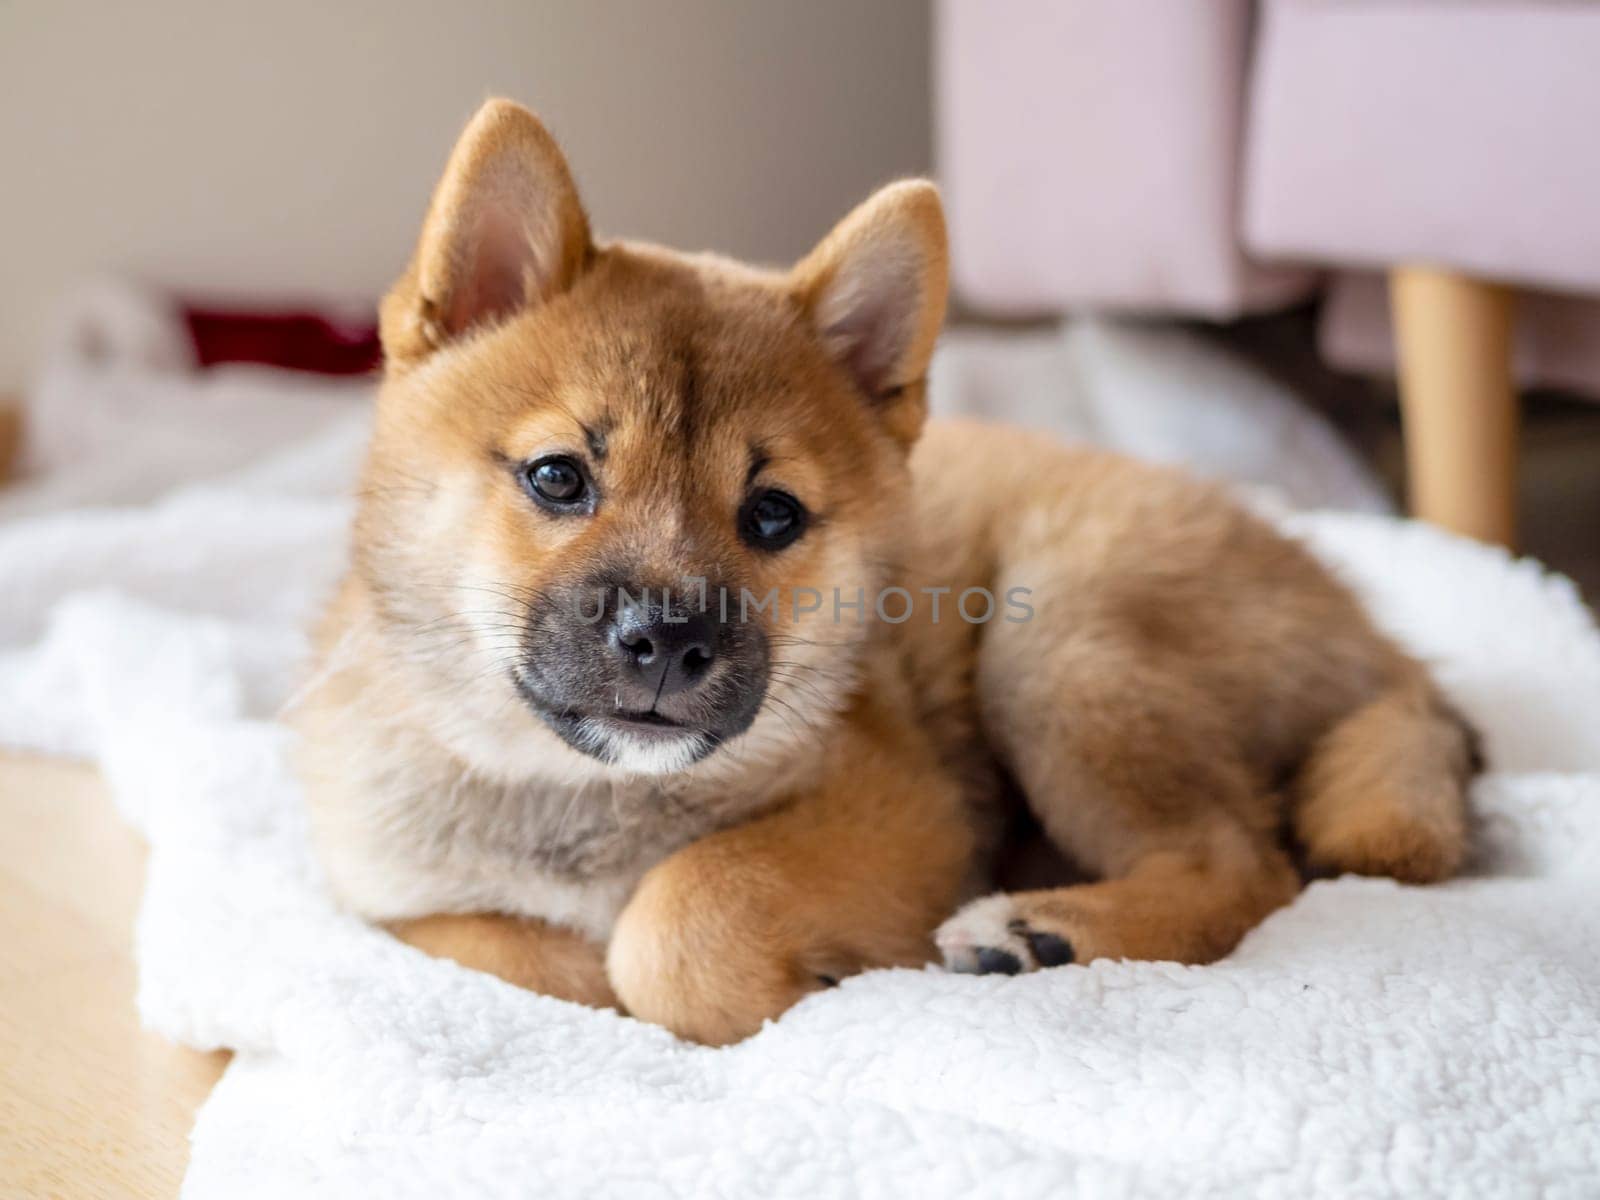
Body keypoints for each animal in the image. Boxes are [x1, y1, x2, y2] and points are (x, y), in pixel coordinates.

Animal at [297, 101, 1472, 1043]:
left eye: (772, 514)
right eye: (557, 478)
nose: (671, 643)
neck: (576, 795)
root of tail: (1392, 656)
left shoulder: (908, 810)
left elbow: (681, 917)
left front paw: (797, 982)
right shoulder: (387, 900)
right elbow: (516, 952)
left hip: (1062, 645)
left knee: (1242, 864)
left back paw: (1043, 928)